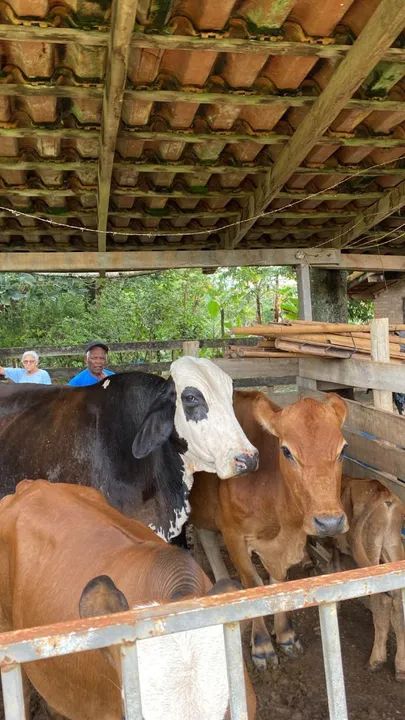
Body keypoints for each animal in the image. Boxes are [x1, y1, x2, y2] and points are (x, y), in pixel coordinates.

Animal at [190, 390, 348, 669]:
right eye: (286, 451)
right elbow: (254, 584)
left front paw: (285, 634)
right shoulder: (233, 534)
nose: (330, 522)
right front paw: (262, 645)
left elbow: (278, 582)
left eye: (343, 450)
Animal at [330, 475, 405, 681]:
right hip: (392, 545)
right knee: (398, 600)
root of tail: (384, 493)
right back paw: (400, 667)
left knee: (382, 599)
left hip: (369, 544)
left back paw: (376, 660)